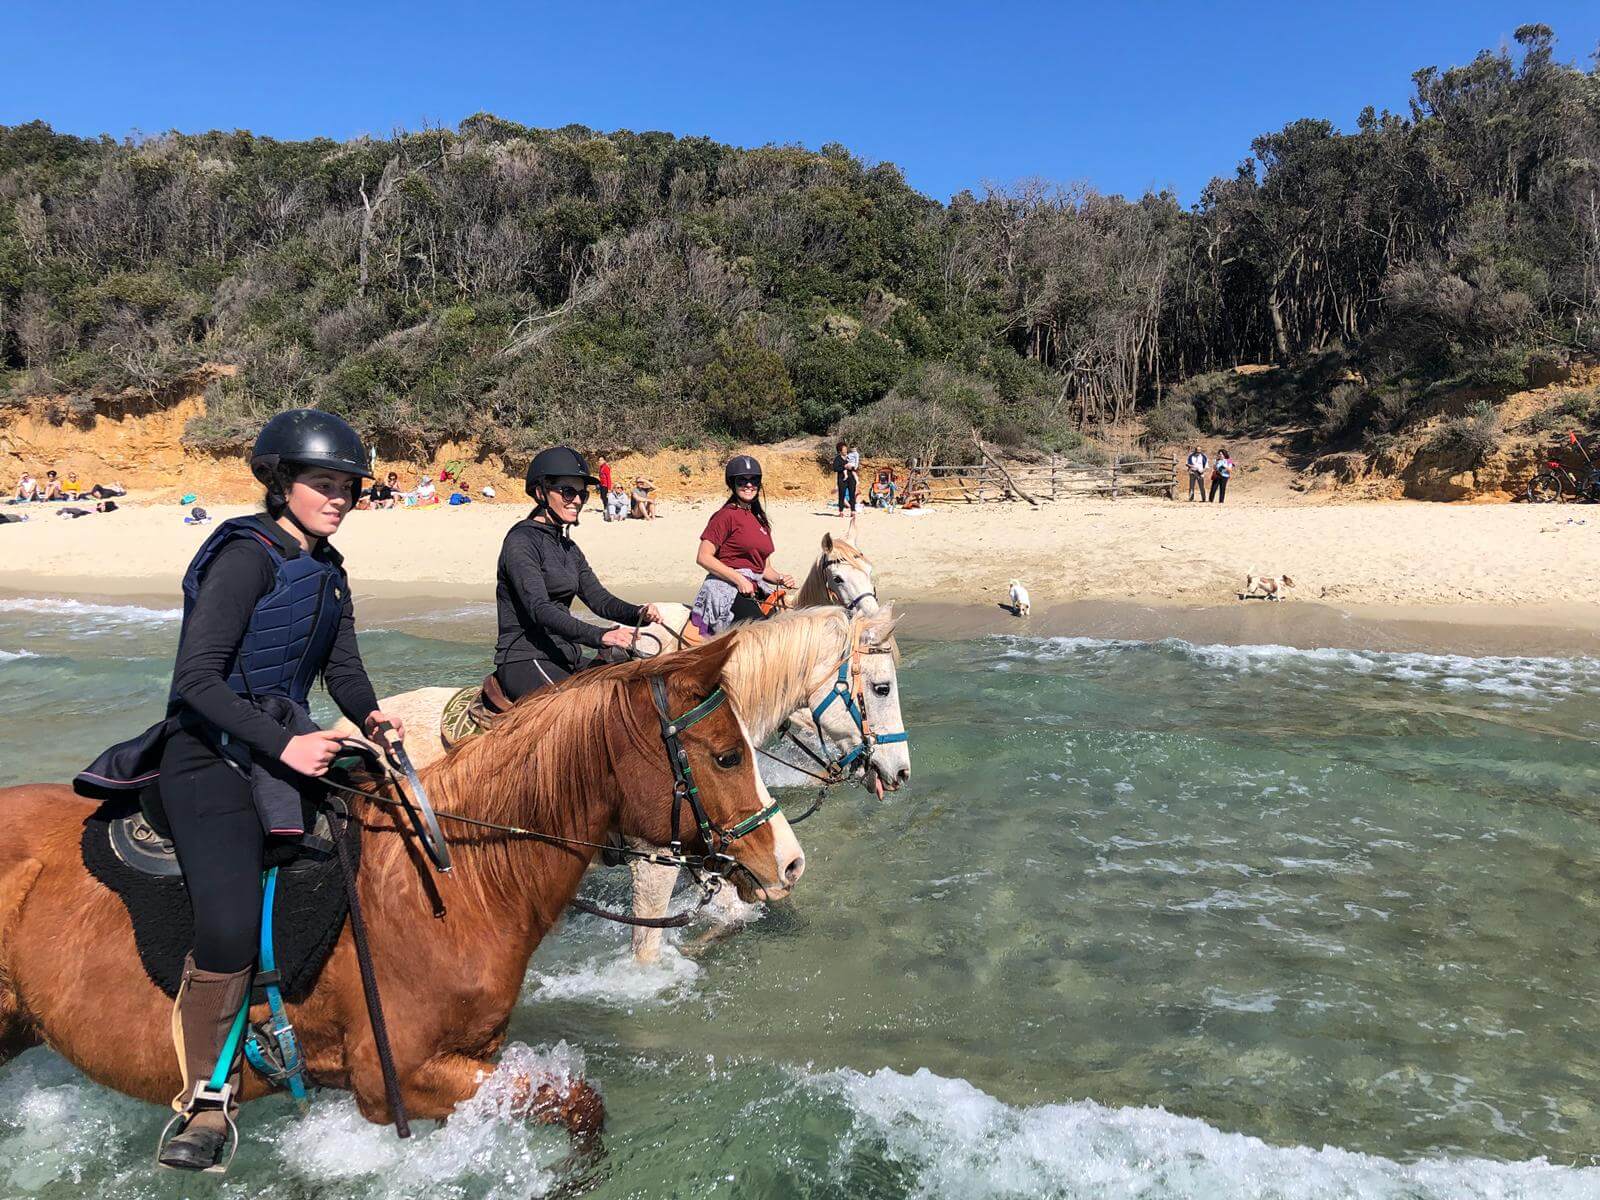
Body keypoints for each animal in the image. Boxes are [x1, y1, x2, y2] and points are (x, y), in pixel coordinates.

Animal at [0, 633, 800, 1139]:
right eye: (728, 756)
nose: (787, 864)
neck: (457, 882)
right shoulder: (396, 1082)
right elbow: (579, 1102)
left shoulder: (470, 1058)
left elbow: (572, 1103)